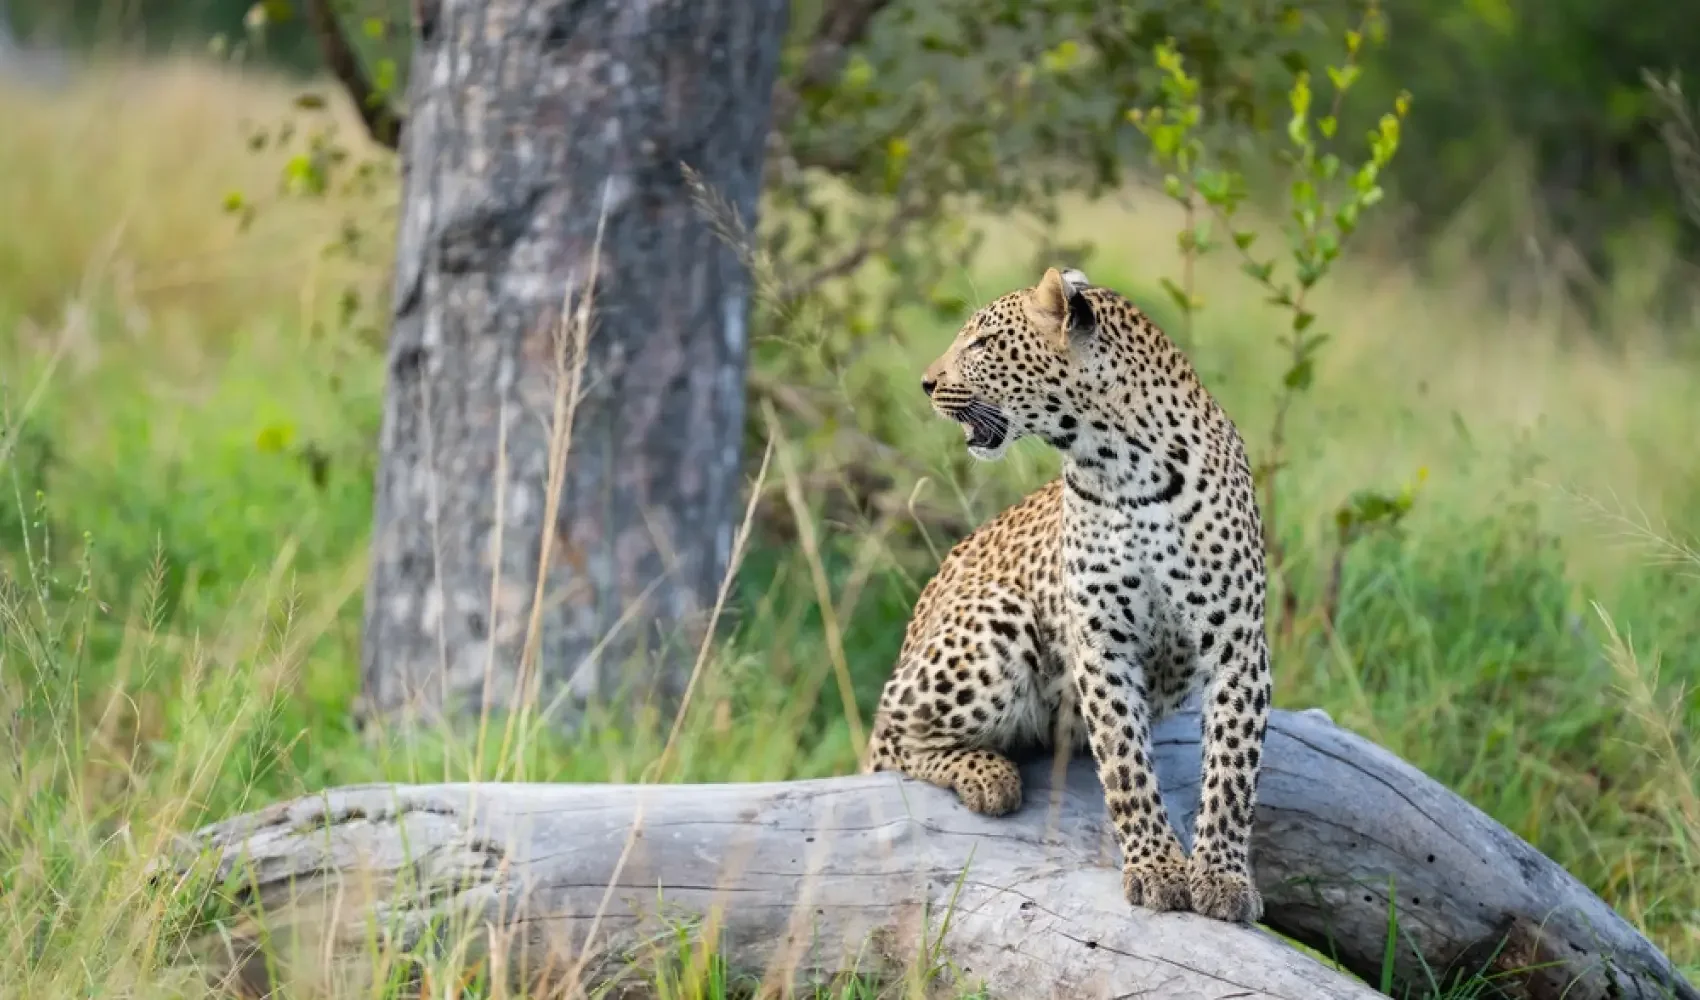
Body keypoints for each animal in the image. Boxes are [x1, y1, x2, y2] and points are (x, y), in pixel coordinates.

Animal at [863, 266, 1271, 924]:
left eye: (982, 344)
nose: (926, 384)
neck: (1124, 465)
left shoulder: (1238, 641)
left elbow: (1234, 766)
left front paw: (1222, 877)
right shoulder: (1102, 641)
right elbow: (1126, 761)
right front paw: (1157, 869)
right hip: (994, 621)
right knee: (891, 734)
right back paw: (987, 774)